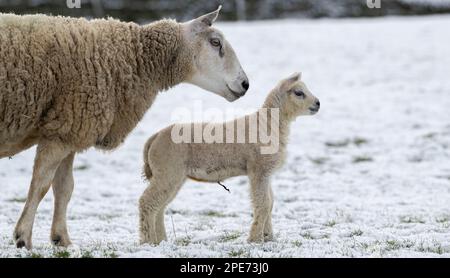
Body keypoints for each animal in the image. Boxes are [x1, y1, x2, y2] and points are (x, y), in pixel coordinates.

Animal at [0, 6, 250, 250]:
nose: (245, 84)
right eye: (215, 42)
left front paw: (62, 240)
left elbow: (64, 188)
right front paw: (23, 238)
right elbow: (40, 186)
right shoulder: (62, 132)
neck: (130, 57)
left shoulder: (68, 130)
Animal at [141, 73, 320, 244]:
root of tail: (154, 137)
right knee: (147, 202)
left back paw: (161, 240)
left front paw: (268, 237)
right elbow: (263, 204)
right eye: (299, 93)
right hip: (168, 170)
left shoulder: (266, 172)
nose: (318, 103)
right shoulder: (258, 169)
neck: (269, 125)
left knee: (160, 206)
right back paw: (147, 241)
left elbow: (270, 203)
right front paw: (255, 239)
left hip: (173, 174)